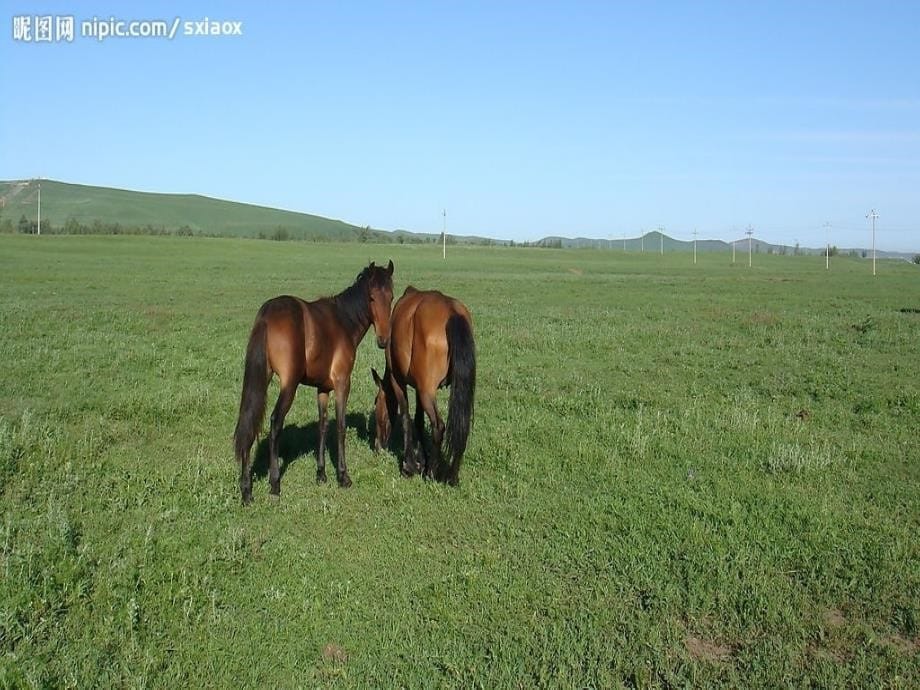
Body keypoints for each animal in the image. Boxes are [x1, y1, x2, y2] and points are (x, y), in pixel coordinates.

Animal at [232, 260, 394, 502]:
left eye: (391, 297)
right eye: (372, 297)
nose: (383, 340)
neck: (343, 321)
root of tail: (267, 314)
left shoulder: (323, 389)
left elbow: (322, 426)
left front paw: (321, 474)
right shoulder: (342, 384)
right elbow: (340, 426)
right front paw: (343, 476)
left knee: (249, 424)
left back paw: (246, 490)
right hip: (289, 386)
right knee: (275, 423)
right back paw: (275, 483)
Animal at [372, 284, 478, 484]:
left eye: (377, 403)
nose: (377, 446)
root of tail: (451, 312)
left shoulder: (398, 380)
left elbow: (406, 418)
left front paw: (409, 466)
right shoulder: (418, 387)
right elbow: (419, 421)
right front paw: (422, 460)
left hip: (426, 392)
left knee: (438, 426)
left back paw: (432, 473)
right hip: (439, 390)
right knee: (461, 426)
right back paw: (452, 475)